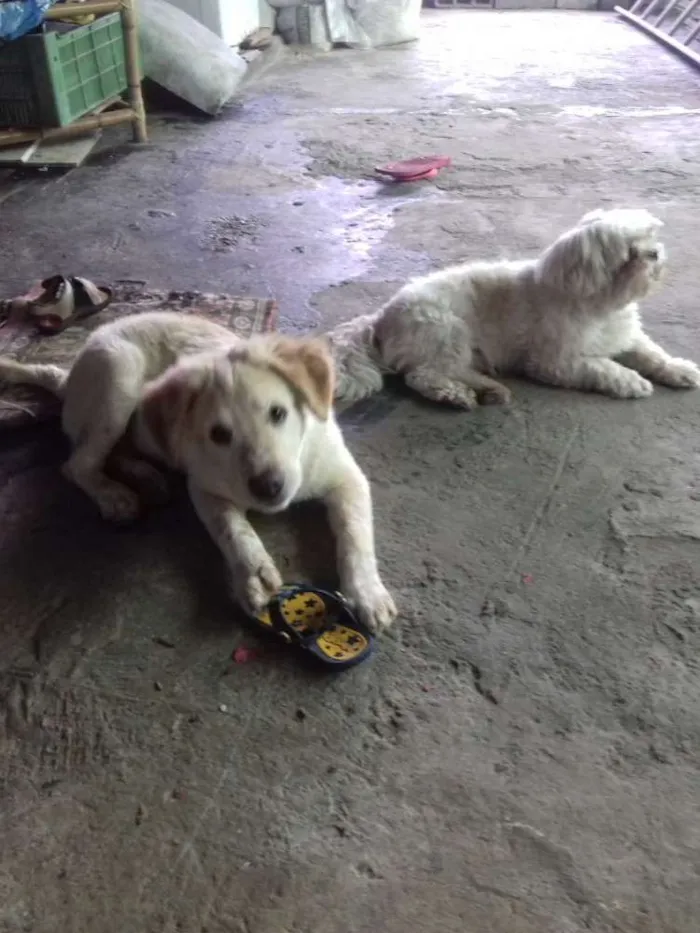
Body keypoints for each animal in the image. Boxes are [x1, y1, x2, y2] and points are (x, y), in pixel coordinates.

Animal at [328, 209, 700, 406]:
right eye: (628, 254)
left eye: (649, 236)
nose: (654, 254)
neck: (601, 306)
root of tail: (381, 317)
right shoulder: (554, 362)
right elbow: (601, 367)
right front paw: (631, 381)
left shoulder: (626, 336)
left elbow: (653, 355)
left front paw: (679, 369)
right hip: (447, 331)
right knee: (424, 375)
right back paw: (455, 394)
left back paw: (488, 389)